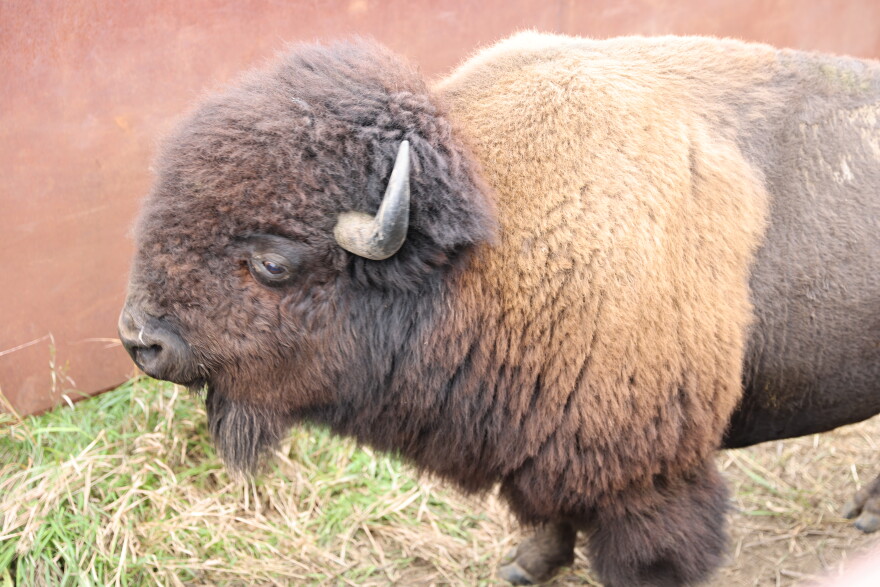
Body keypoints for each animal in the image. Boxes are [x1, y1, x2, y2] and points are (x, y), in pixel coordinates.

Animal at [118, 33, 880, 586]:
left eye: (272, 262)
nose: (140, 338)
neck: (486, 244)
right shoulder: (540, 440)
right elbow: (548, 512)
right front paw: (525, 564)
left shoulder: (650, 477)